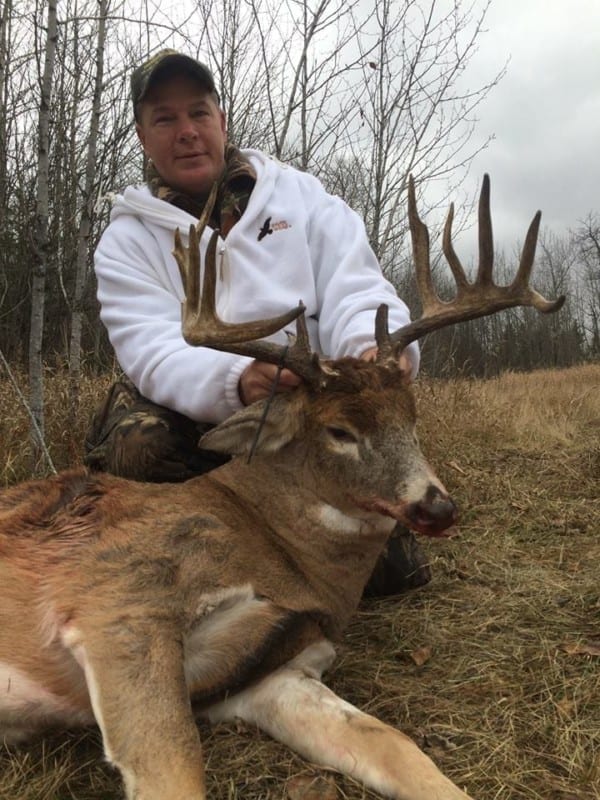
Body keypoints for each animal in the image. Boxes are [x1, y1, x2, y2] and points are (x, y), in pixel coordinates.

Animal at [0, 176, 563, 800]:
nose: (437, 506)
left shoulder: (274, 671)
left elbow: (394, 747)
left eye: (411, 417)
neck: (277, 550)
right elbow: (173, 770)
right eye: (339, 430)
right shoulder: (120, 599)